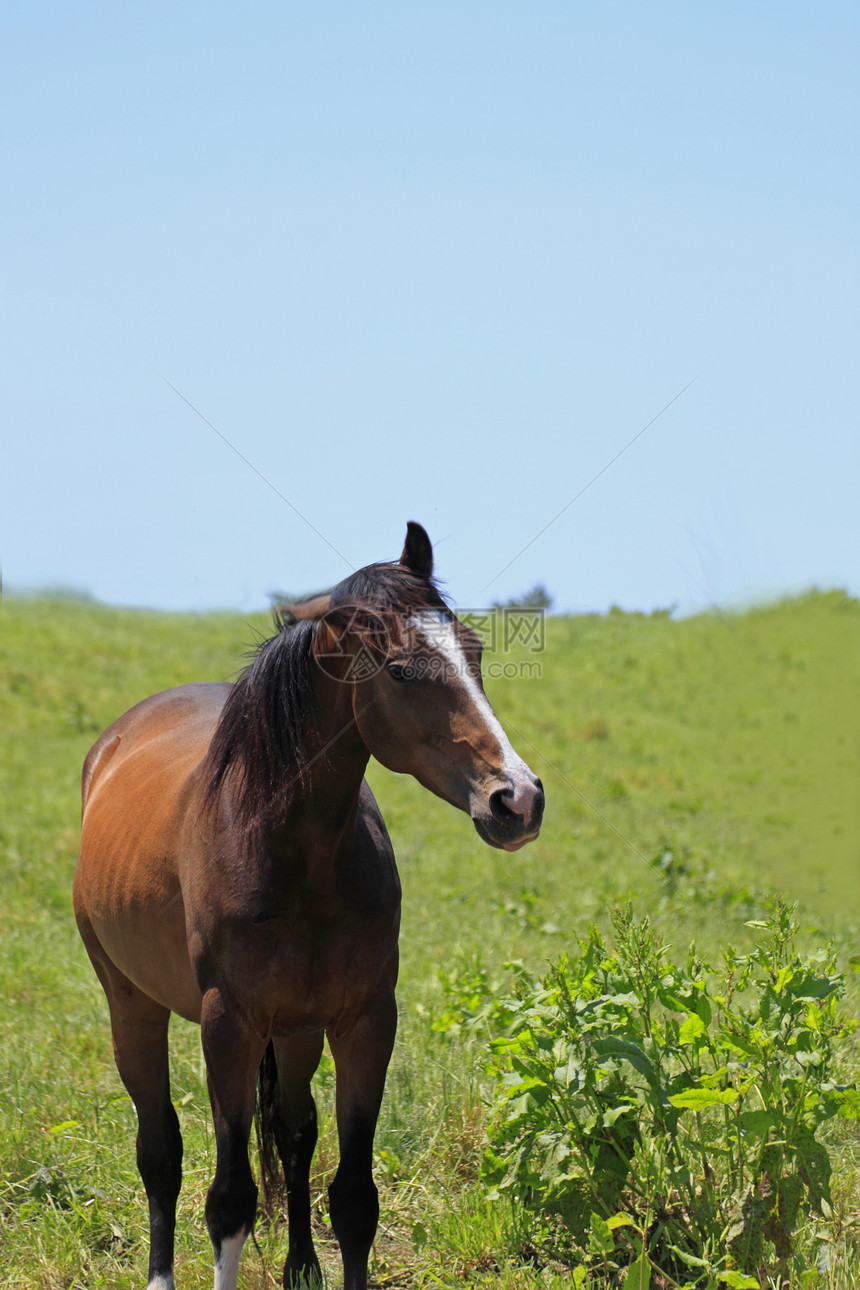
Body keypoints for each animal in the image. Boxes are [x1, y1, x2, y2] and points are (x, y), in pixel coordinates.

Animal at [74, 523, 544, 1290]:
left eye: (473, 651)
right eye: (402, 672)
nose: (518, 799)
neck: (299, 857)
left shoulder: (365, 1019)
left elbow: (352, 1197)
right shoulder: (228, 1026)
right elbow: (230, 1201)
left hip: (295, 1031)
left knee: (295, 1131)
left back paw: (300, 1265)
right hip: (132, 1005)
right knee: (160, 1149)